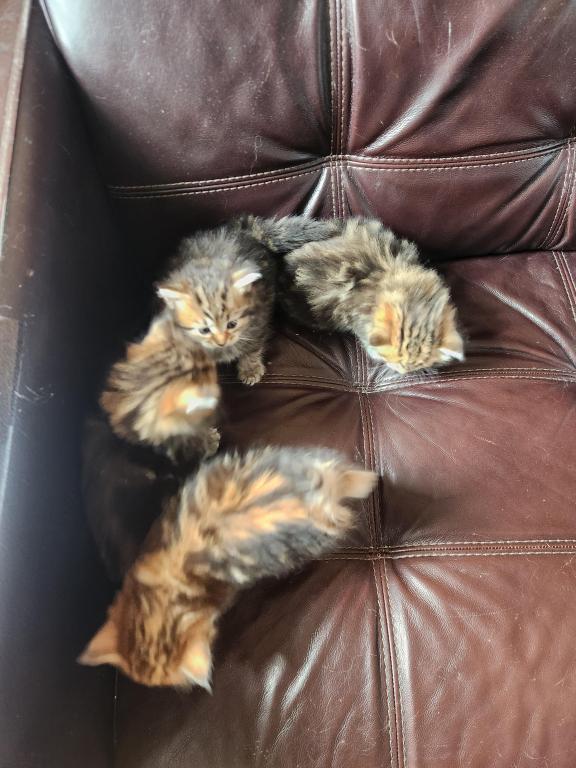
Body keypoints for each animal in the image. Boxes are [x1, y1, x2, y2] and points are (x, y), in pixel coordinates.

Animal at [156, 226, 276, 385]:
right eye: (204, 330)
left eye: (232, 324)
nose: (221, 342)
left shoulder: (259, 322)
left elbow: (253, 347)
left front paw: (250, 369)